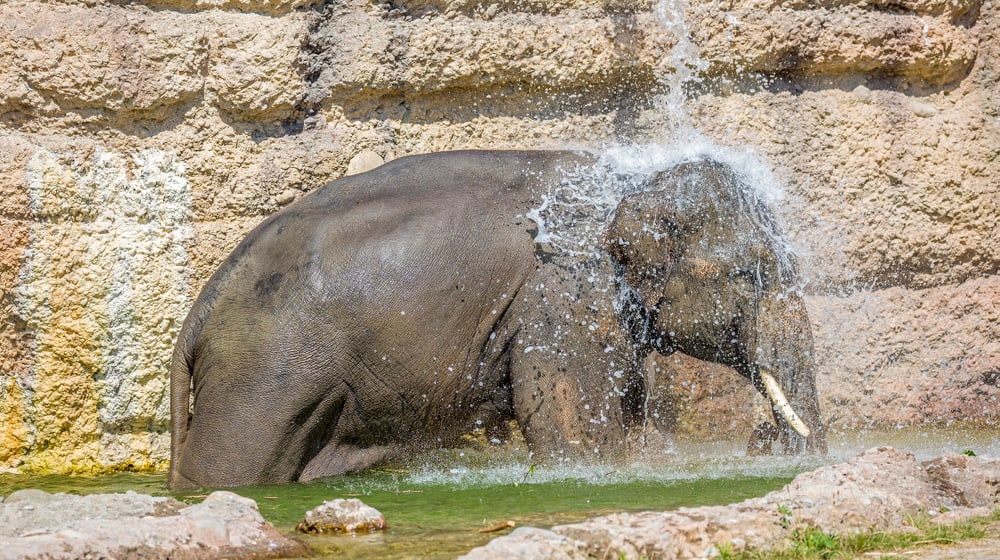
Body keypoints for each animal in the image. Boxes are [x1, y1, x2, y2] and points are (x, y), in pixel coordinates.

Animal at [168, 149, 826, 488]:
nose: (763, 439)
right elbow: (571, 432)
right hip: (265, 373)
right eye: (752, 274)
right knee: (232, 466)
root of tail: (199, 312)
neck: (625, 179)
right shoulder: (564, 299)